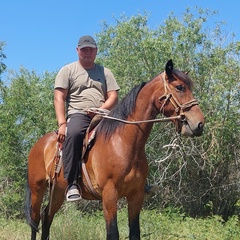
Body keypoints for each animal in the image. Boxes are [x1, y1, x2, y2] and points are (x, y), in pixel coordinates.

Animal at [24, 59, 204, 239]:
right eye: (179, 87)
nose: (199, 124)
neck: (122, 143)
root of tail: (39, 145)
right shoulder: (109, 195)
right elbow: (113, 233)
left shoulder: (136, 195)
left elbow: (135, 232)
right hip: (37, 189)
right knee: (35, 220)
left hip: (58, 191)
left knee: (47, 216)